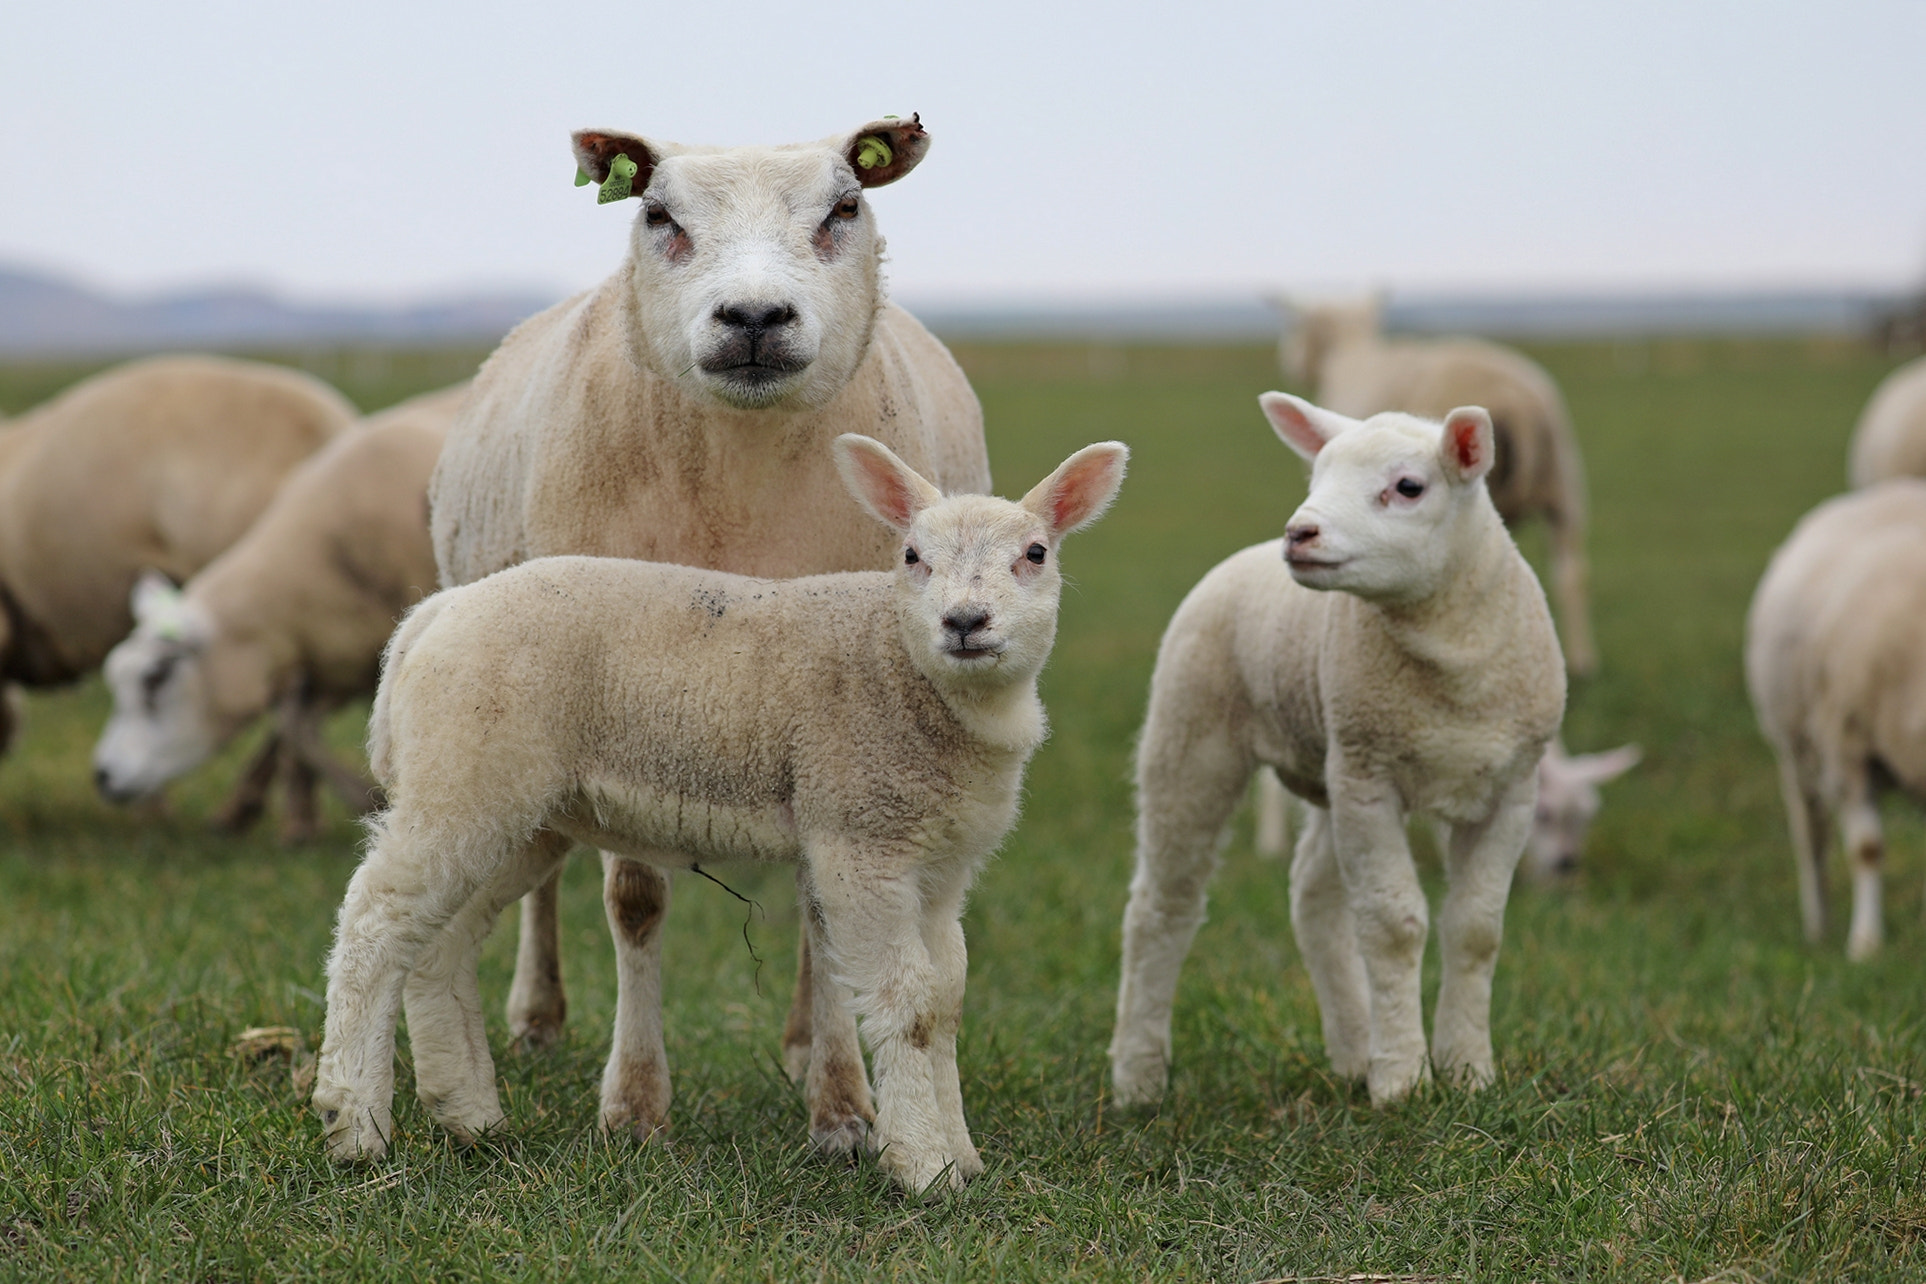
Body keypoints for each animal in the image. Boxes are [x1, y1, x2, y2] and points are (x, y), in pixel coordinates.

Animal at [313, 433, 1126, 1194]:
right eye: (912, 555)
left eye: (1035, 554)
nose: (965, 621)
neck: (904, 666)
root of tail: (433, 615)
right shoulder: (860, 836)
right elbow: (909, 1002)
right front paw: (924, 1166)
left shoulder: (942, 866)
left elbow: (948, 1001)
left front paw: (962, 1156)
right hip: (464, 774)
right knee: (374, 921)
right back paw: (355, 1124)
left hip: (520, 808)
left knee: (441, 942)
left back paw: (468, 1115)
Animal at [427, 115, 991, 1156]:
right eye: (659, 215)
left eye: (844, 207)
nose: (755, 317)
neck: (741, 478)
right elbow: (635, 901)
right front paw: (635, 1104)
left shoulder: (839, 701)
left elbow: (824, 910)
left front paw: (843, 1109)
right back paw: (536, 1016)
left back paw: (807, 1044)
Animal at [1109, 393, 1564, 1109]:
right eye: (1316, 475)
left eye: (1409, 487)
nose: (1300, 533)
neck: (1453, 668)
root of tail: (1244, 557)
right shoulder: (1371, 778)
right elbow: (1394, 925)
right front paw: (1403, 1080)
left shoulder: (1511, 788)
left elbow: (1475, 930)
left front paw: (1467, 1070)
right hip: (1193, 736)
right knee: (1162, 907)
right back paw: (1139, 1079)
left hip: (1331, 767)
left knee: (1313, 899)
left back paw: (1353, 1052)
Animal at [1276, 295, 1596, 677]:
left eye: (1298, 326)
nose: (1289, 361)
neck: (1351, 352)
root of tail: (1514, 401)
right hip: (1563, 488)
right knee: (1571, 574)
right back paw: (1581, 661)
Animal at [1745, 479, 1926, 960]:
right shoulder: (1848, 746)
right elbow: (1867, 849)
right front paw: (1866, 944)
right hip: (1795, 748)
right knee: (1811, 838)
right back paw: (1818, 925)